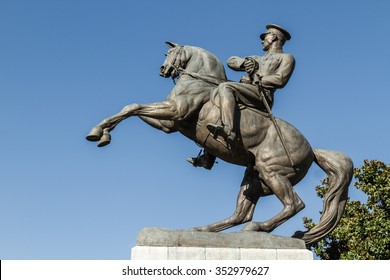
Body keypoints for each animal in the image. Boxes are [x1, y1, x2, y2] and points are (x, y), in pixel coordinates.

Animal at [87, 40, 354, 244]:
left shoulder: (175, 111)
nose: (163, 69)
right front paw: (102, 133)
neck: (200, 81)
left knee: (293, 205)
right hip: (254, 179)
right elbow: (132, 108)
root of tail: (311, 149)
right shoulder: (170, 124)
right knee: (241, 214)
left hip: (272, 173)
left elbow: (132, 107)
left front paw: (98, 132)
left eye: (172, 53)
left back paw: (257, 229)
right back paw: (203, 230)